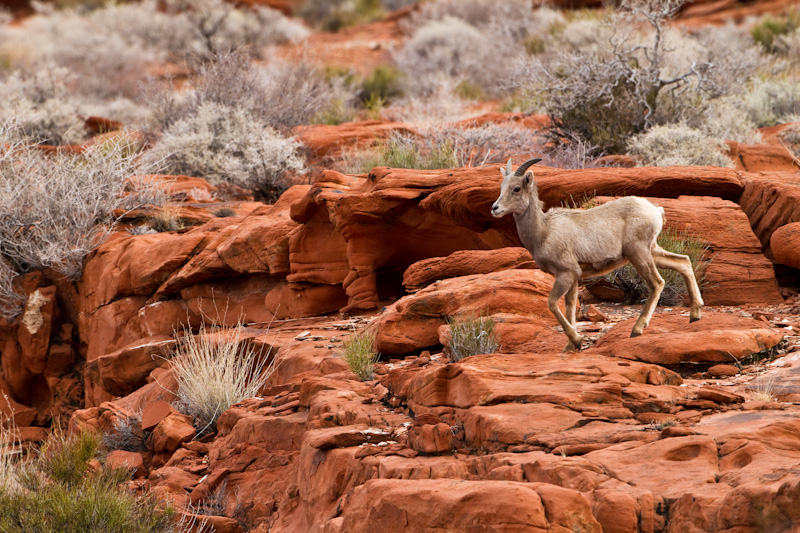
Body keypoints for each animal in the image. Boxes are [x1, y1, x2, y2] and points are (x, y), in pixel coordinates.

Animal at [490, 158, 704, 350]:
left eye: (516, 188)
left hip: (638, 254)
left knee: (657, 283)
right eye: (501, 187)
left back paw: (637, 329)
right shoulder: (574, 277)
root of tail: (656, 211)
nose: (495, 208)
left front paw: (577, 340)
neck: (544, 231)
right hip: (652, 251)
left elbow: (552, 304)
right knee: (684, 262)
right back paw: (695, 315)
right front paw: (570, 346)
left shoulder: (566, 274)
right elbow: (570, 307)